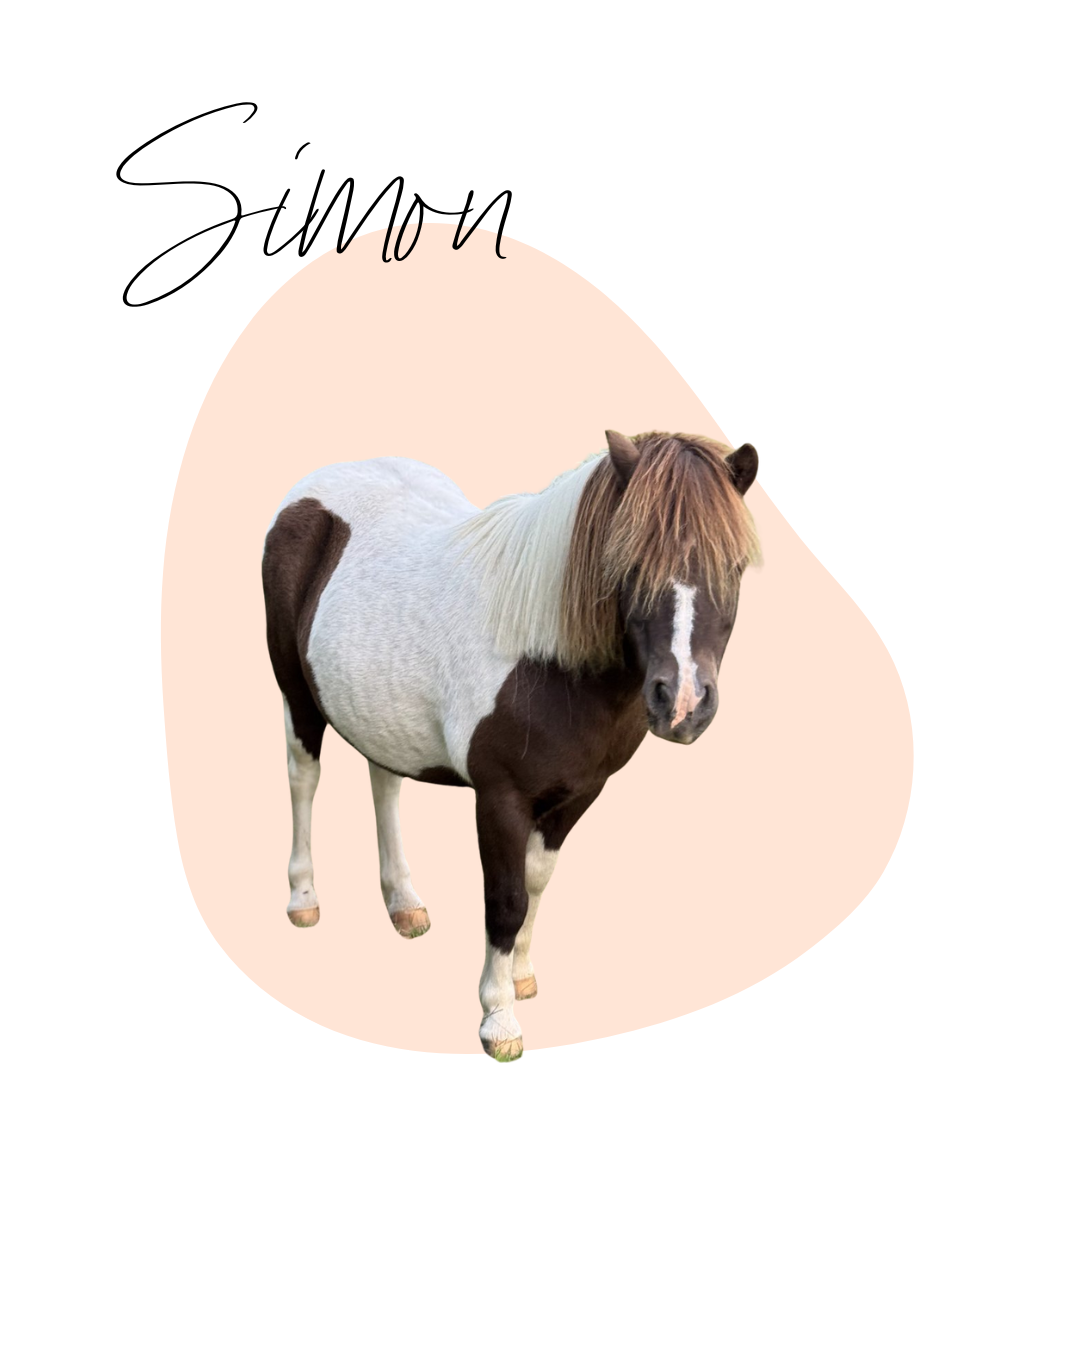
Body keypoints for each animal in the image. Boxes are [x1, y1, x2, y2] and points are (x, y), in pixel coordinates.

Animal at [261, 429, 762, 1061]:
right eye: (629, 561)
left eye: (735, 566)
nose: (683, 703)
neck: (543, 653)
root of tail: (315, 487)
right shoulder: (500, 799)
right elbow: (505, 900)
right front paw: (499, 1022)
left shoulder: (577, 795)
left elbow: (536, 884)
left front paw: (521, 978)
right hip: (295, 692)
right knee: (303, 778)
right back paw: (303, 899)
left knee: (384, 782)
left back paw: (404, 903)